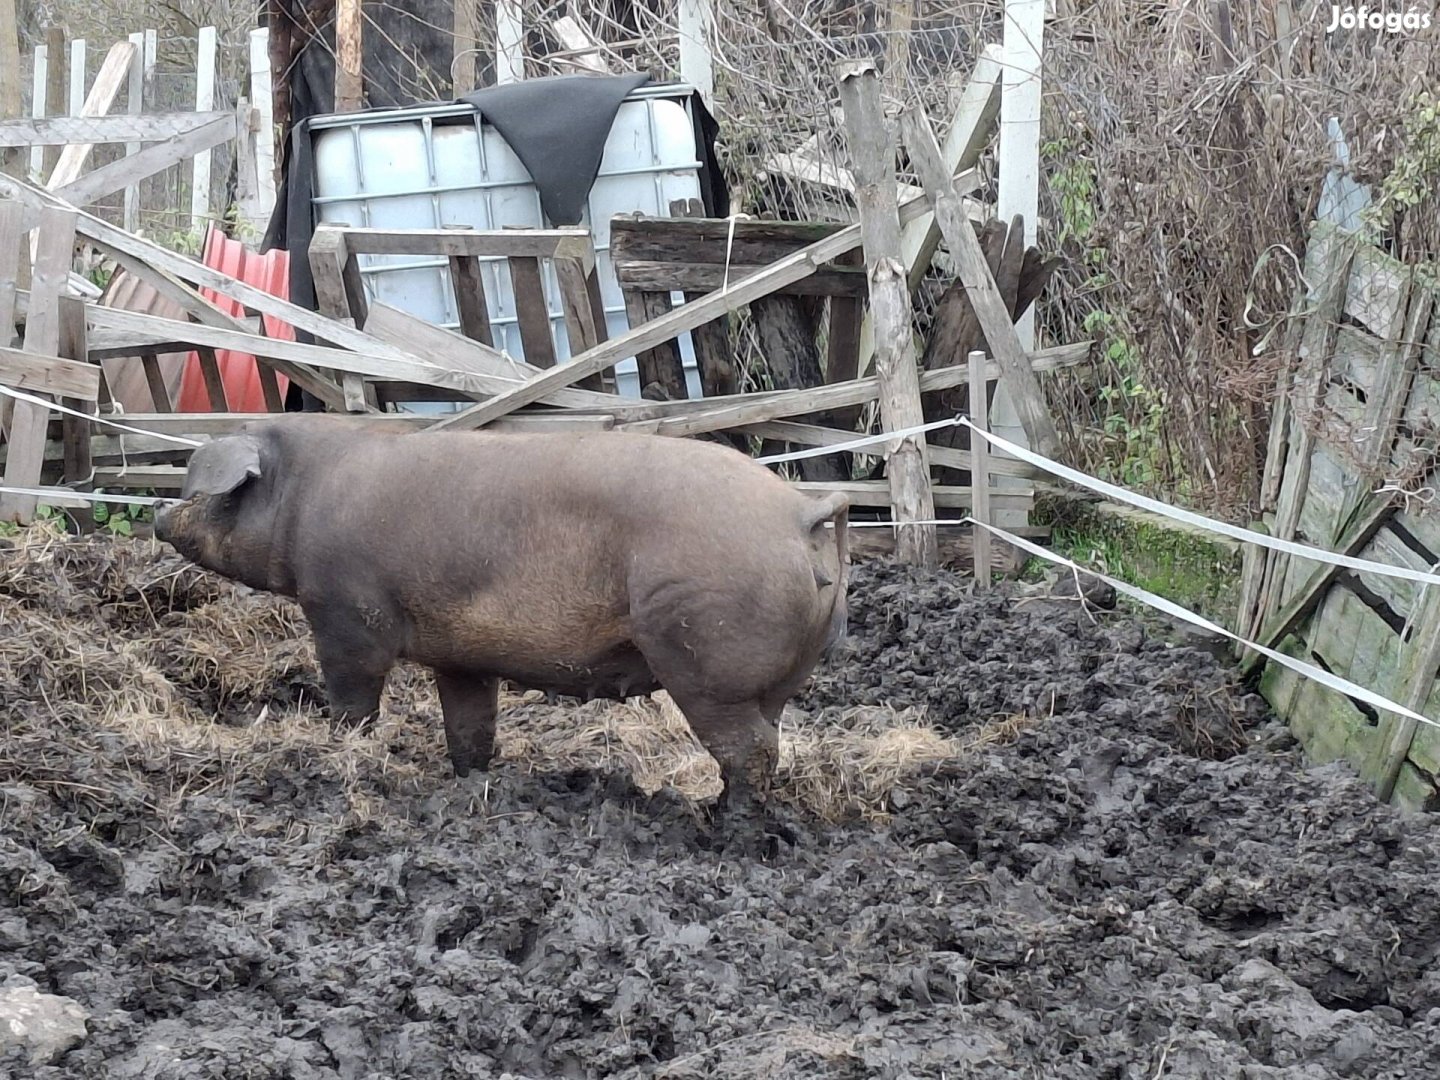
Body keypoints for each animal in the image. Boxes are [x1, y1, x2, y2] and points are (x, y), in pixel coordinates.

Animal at [154, 417, 852, 817]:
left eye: (201, 488)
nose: (158, 516)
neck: (304, 497)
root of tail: (799, 513)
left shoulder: (343, 611)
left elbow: (353, 697)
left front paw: (341, 751)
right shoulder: (460, 654)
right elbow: (470, 727)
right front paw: (469, 784)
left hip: (704, 652)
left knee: (749, 749)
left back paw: (721, 825)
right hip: (784, 670)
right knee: (768, 738)